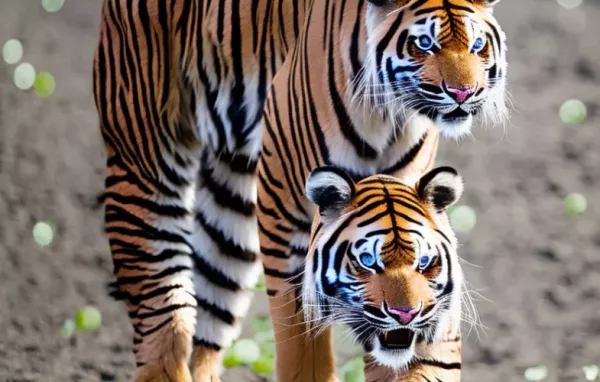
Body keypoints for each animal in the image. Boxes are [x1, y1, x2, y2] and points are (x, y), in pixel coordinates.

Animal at [91, 0, 506, 382]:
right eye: (424, 43)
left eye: (477, 43)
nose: (464, 92)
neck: (389, 115)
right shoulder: (287, 216)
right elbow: (304, 347)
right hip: (145, 147)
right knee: (164, 305)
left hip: (230, 190)